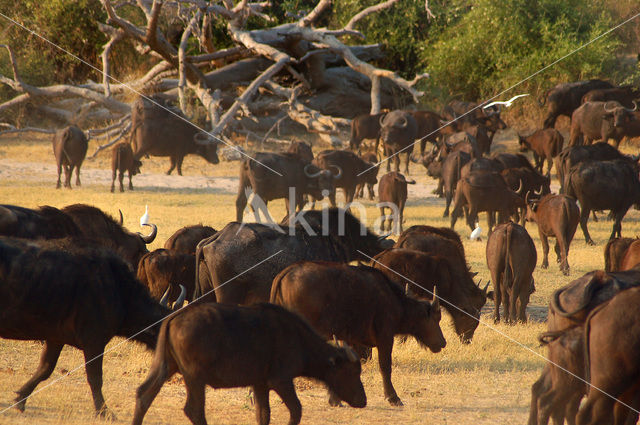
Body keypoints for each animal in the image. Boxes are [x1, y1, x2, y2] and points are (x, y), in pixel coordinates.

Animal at [0, 237, 185, 416]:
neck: (118, 289)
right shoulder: (94, 342)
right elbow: (95, 377)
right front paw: (104, 411)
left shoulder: (55, 338)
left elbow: (44, 369)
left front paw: (20, 398)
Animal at [131, 302, 364, 424]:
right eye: (352, 372)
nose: (363, 400)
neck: (297, 338)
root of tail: (175, 317)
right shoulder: (281, 381)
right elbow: (296, 410)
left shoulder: (259, 385)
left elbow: (263, 415)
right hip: (194, 378)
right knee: (194, 410)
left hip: (166, 367)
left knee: (144, 394)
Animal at [270, 260, 444, 406]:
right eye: (437, 318)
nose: (443, 342)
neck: (395, 301)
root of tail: (286, 272)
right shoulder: (385, 337)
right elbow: (385, 367)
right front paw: (393, 398)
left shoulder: (351, 340)